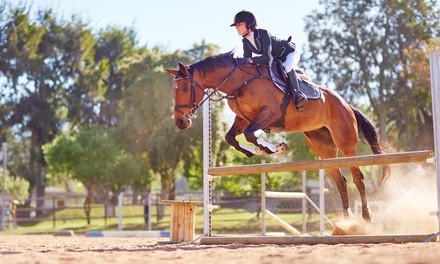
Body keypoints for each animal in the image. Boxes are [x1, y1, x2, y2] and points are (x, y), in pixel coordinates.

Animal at [164, 50, 388, 222]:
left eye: (185, 87)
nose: (181, 122)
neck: (240, 81)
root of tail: (346, 104)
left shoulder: (268, 114)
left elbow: (249, 134)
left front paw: (273, 147)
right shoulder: (243, 118)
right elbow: (231, 137)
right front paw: (256, 151)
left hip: (345, 142)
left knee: (358, 178)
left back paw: (366, 217)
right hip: (323, 147)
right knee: (340, 180)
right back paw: (347, 219)